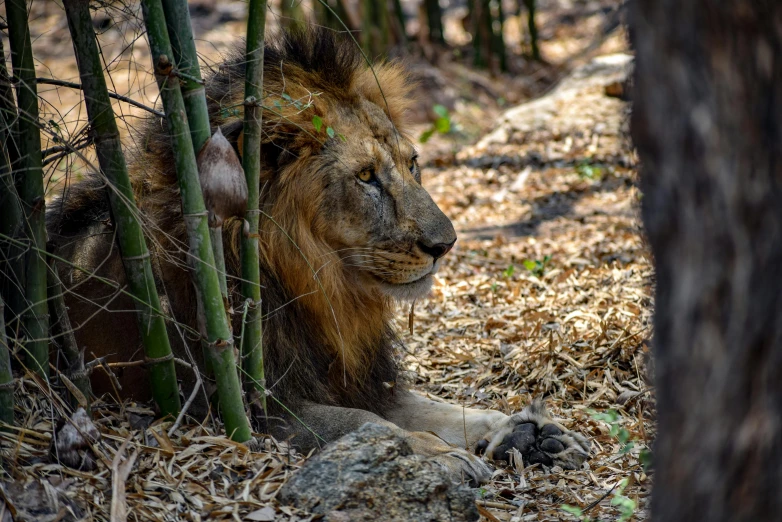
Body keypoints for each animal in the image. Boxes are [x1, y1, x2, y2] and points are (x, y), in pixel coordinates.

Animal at [47, 29, 588, 484]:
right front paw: (436, 454)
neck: (320, 290)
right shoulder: (246, 408)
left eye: (412, 164)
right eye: (366, 176)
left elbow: (435, 407)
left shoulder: (358, 378)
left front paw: (524, 431)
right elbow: (364, 424)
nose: (445, 244)